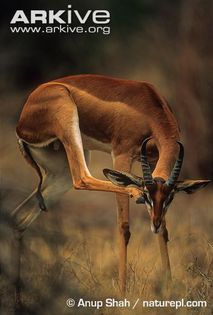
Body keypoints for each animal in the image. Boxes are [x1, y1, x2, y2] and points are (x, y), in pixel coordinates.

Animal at [14, 74, 210, 296]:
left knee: (18, 218)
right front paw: (123, 295)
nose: (155, 224)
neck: (151, 109)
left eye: (170, 198)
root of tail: (21, 121)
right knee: (82, 178)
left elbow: (165, 232)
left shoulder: (154, 161)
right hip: (69, 125)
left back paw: (18, 296)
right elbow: (124, 228)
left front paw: (169, 291)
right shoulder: (121, 155)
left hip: (60, 173)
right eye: (148, 195)